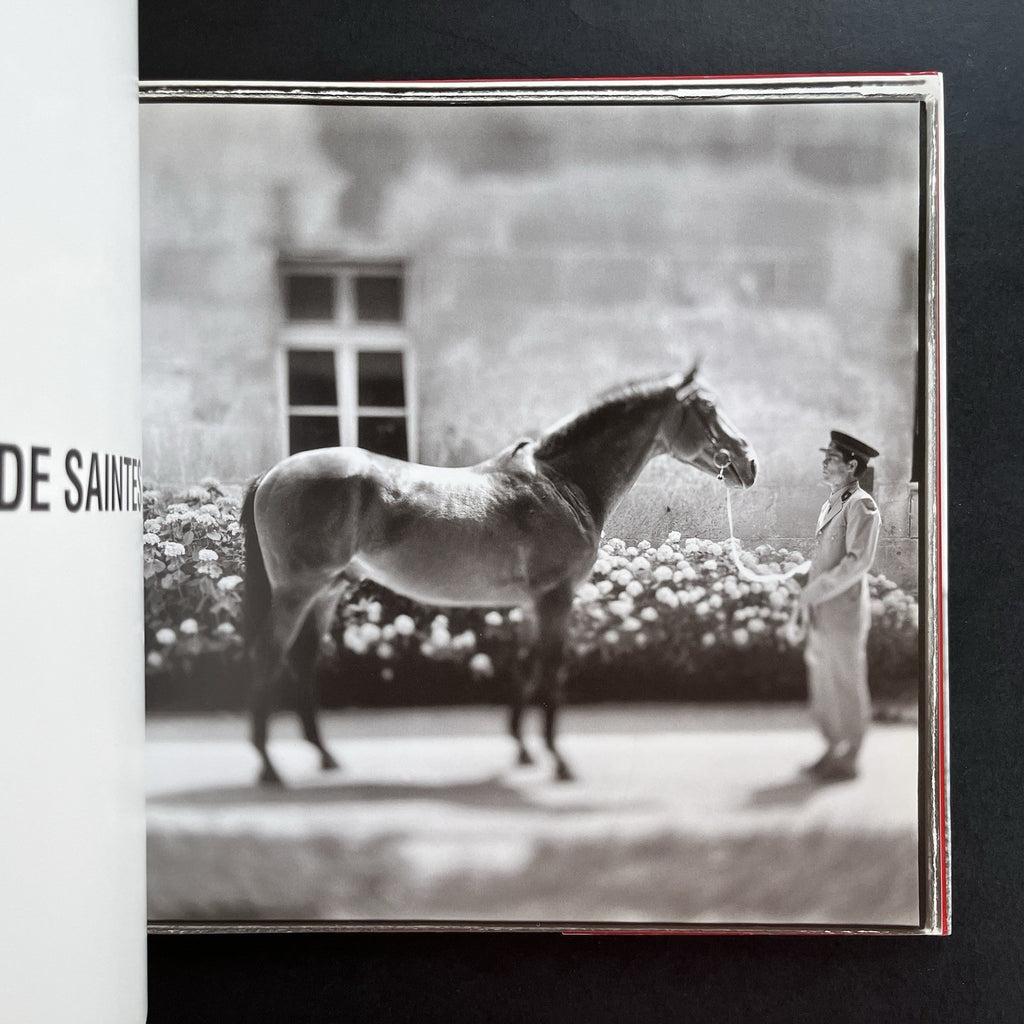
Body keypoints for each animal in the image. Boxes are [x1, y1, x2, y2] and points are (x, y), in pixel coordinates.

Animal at [240, 365, 757, 785]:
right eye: (707, 407)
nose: (749, 463)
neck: (562, 484)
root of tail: (272, 474)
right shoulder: (555, 597)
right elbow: (549, 671)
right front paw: (557, 760)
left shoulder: (533, 602)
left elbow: (525, 666)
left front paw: (522, 749)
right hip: (297, 590)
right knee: (268, 655)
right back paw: (268, 769)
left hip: (327, 590)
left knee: (303, 660)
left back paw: (325, 757)